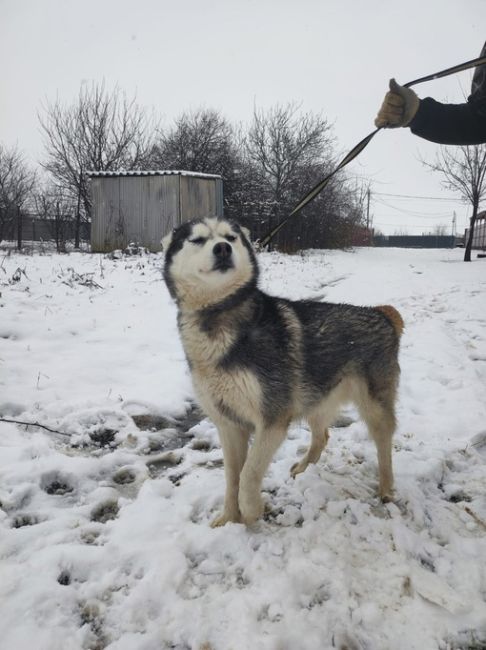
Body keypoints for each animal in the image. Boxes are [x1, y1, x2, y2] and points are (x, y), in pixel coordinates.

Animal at [163, 215, 402, 524]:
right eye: (197, 240)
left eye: (230, 237)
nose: (223, 249)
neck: (217, 317)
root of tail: (380, 312)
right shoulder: (228, 425)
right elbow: (231, 478)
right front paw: (229, 518)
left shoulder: (273, 420)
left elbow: (248, 474)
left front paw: (252, 510)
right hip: (315, 399)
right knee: (322, 435)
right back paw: (302, 468)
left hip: (373, 408)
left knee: (384, 445)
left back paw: (386, 488)